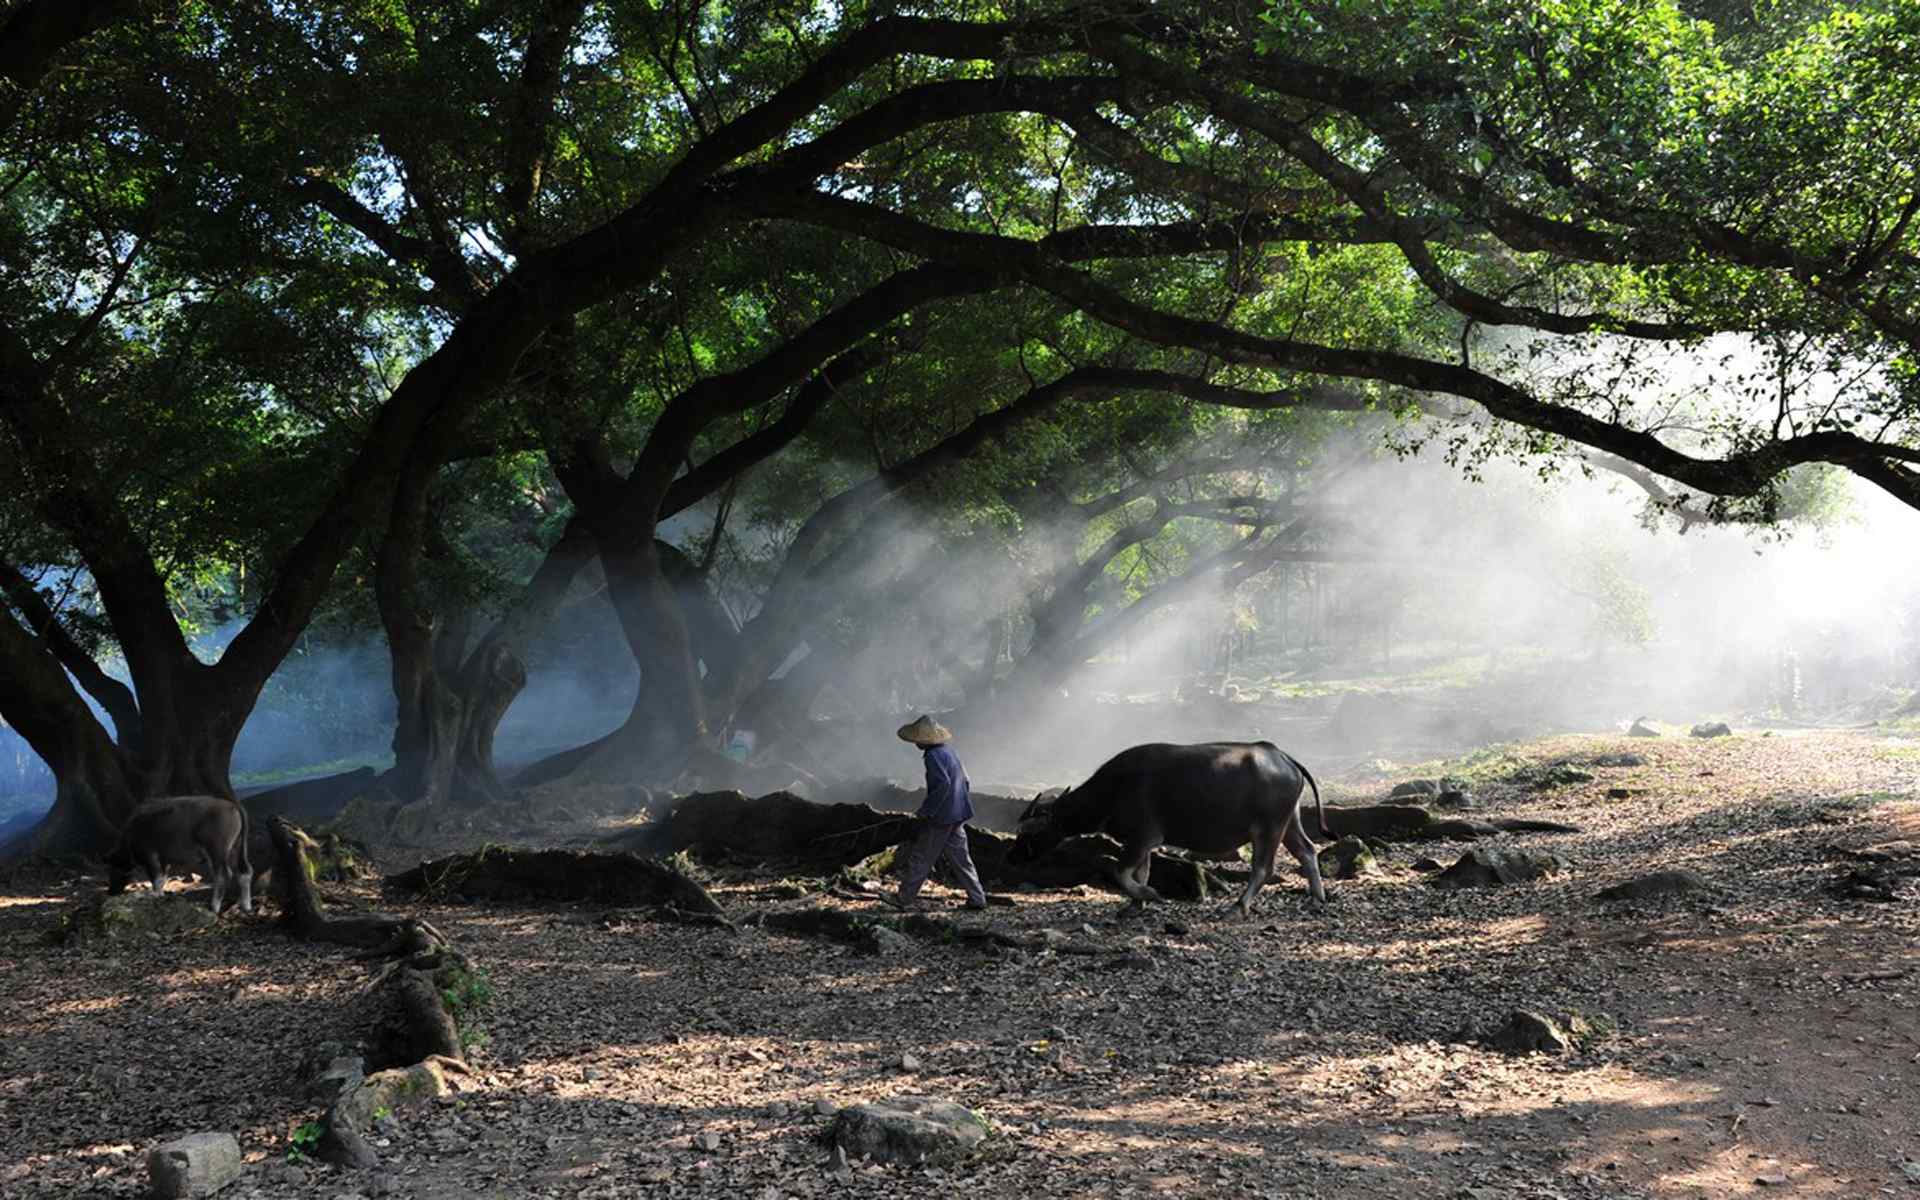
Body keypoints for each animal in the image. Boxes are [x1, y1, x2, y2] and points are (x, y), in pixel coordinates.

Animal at [107, 791, 255, 913]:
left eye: (114, 867)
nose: (111, 891)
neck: (131, 834)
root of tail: (233, 806)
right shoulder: (164, 860)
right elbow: (162, 878)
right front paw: (160, 895)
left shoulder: (150, 856)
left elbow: (156, 878)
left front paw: (154, 895)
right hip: (237, 849)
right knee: (244, 871)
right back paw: (246, 906)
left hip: (217, 851)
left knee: (223, 874)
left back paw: (214, 907)